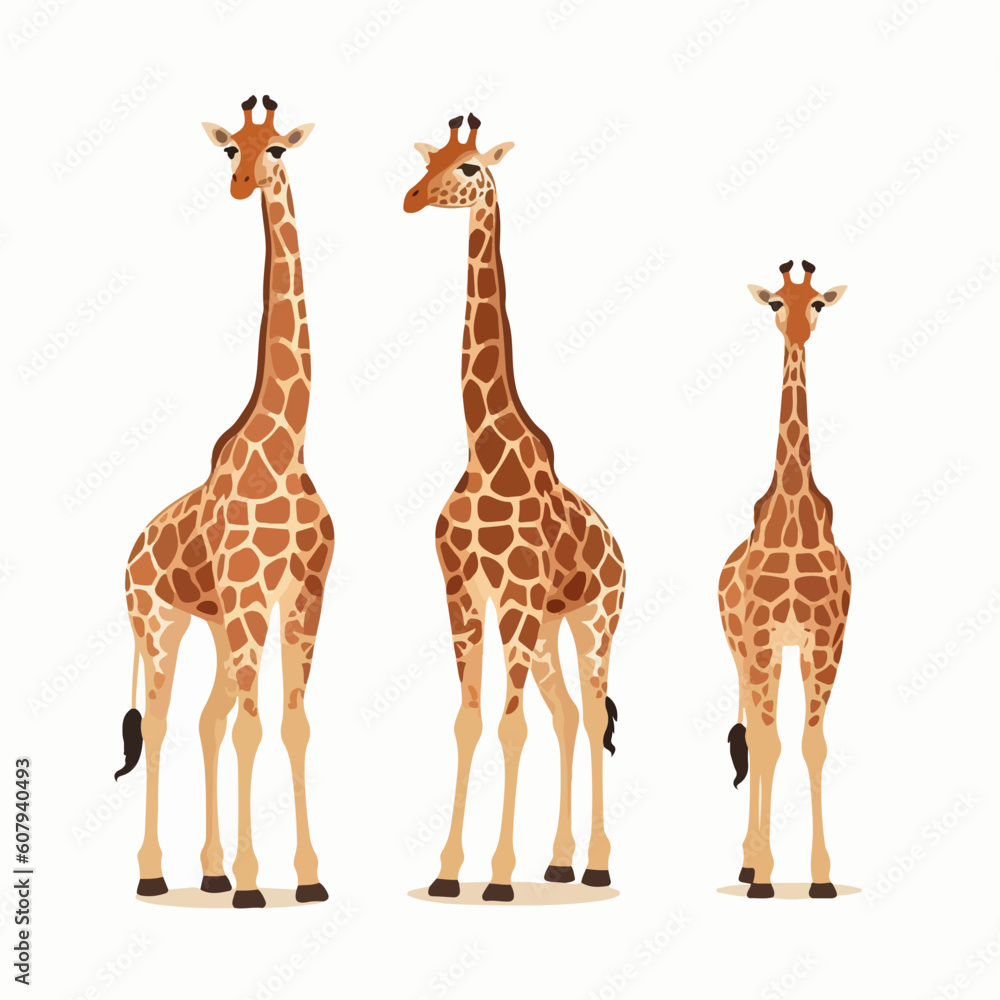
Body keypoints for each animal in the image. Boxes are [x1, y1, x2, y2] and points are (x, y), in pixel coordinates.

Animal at [114, 95, 331, 909]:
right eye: (230, 148)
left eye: (279, 149)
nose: (241, 185)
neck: (287, 444)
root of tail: (132, 552)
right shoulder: (247, 595)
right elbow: (250, 728)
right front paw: (250, 884)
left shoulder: (300, 594)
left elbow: (290, 727)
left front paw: (305, 879)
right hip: (159, 621)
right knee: (165, 723)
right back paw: (155, 874)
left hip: (210, 620)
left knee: (206, 720)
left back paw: (205, 871)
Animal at [403, 115, 626, 903]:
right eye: (430, 157)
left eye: (470, 166)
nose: (411, 198)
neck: (482, 447)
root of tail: (621, 551)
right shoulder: (465, 592)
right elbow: (471, 723)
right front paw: (448, 872)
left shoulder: (520, 594)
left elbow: (510, 727)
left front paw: (497, 878)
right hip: (551, 622)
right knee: (566, 715)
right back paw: (558, 863)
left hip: (594, 619)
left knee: (588, 713)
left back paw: (595, 864)